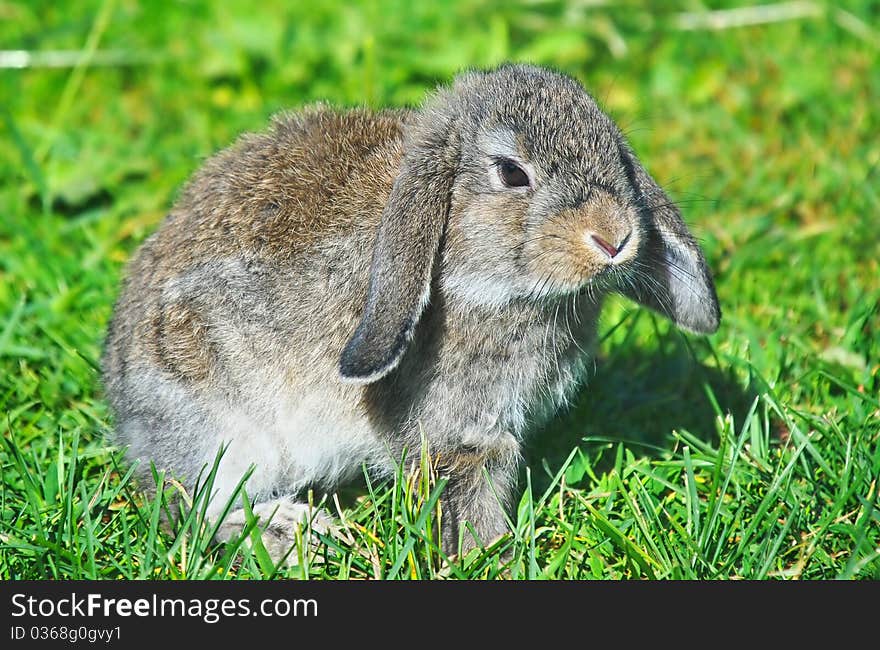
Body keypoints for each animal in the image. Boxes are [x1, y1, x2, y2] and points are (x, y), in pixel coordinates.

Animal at [105, 64, 720, 560]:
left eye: (615, 156)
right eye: (511, 173)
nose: (614, 237)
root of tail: (125, 408)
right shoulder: (458, 435)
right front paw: (486, 556)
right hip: (219, 424)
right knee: (192, 508)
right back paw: (292, 532)